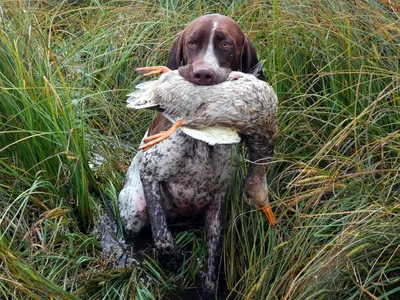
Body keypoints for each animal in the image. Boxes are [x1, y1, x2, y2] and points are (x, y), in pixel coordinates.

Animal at [119, 14, 266, 292]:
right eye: (192, 43)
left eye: (226, 45)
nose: (202, 73)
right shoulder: (150, 172)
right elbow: (162, 236)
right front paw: (171, 259)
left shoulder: (219, 200)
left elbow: (214, 255)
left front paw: (208, 287)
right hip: (133, 209)